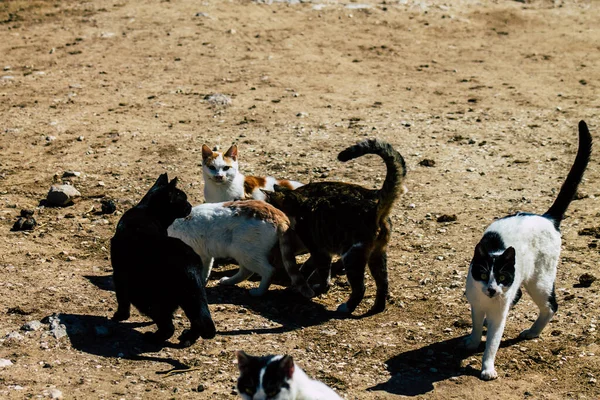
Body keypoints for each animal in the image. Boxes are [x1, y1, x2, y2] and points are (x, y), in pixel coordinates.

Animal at [111, 173, 217, 346]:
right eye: (183, 199)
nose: (190, 205)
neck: (147, 211)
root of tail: (189, 265)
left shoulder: (119, 274)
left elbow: (122, 299)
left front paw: (120, 316)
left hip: (147, 298)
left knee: (168, 327)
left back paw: (152, 337)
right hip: (191, 297)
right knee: (197, 320)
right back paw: (187, 339)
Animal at [165, 200, 312, 296]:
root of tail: (277, 213)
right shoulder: (204, 255)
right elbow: (205, 271)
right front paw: (202, 282)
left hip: (245, 252)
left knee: (268, 270)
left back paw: (259, 292)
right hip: (241, 253)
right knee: (246, 272)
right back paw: (228, 281)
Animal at [464, 120, 592, 380]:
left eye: (501, 277)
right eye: (482, 274)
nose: (493, 289)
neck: (488, 300)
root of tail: (547, 218)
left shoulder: (499, 312)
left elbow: (492, 343)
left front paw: (487, 368)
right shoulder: (476, 303)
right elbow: (475, 324)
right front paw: (473, 341)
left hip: (540, 281)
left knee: (552, 306)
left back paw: (533, 331)